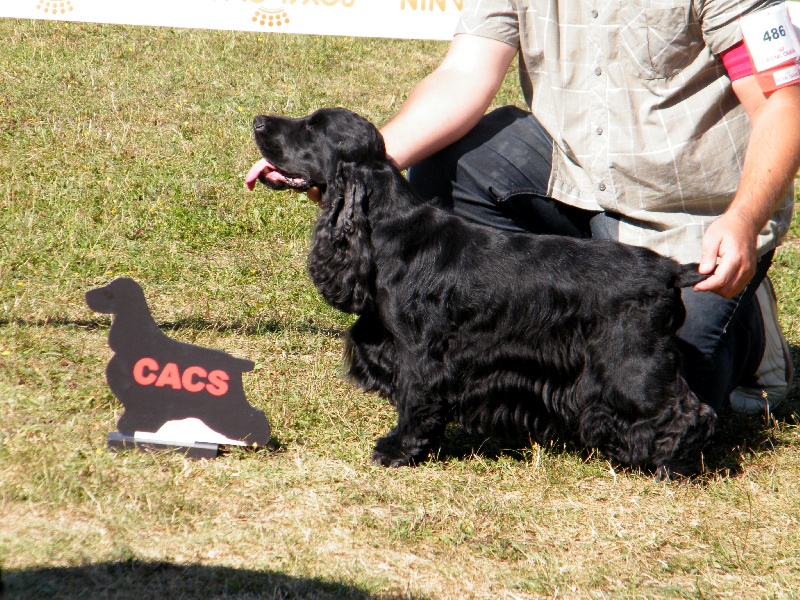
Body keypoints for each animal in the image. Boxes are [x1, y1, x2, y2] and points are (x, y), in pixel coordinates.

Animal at [247, 106, 716, 474]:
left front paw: (397, 450)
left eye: (312, 128)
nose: (257, 121)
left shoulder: (421, 351)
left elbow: (415, 400)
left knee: (689, 412)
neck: (386, 226)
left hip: (630, 363)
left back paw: (667, 464)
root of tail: (671, 271)